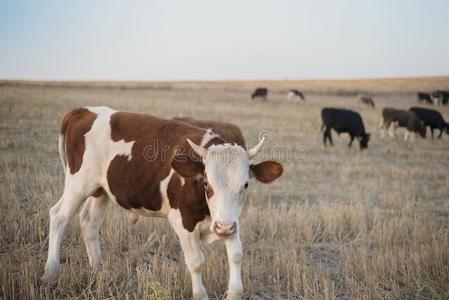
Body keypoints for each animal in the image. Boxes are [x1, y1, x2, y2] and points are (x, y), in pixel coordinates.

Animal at [41, 106, 280, 300]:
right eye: (206, 183)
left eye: (246, 185)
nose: (223, 228)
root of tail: (85, 111)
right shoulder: (183, 222)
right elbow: (196, 262)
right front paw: (200, 293)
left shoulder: (229, 220)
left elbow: (236, 256)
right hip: (78, 184)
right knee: (59, 216)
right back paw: (50, 272)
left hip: (101, 190)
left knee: (89, 222)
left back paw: (98, 269)